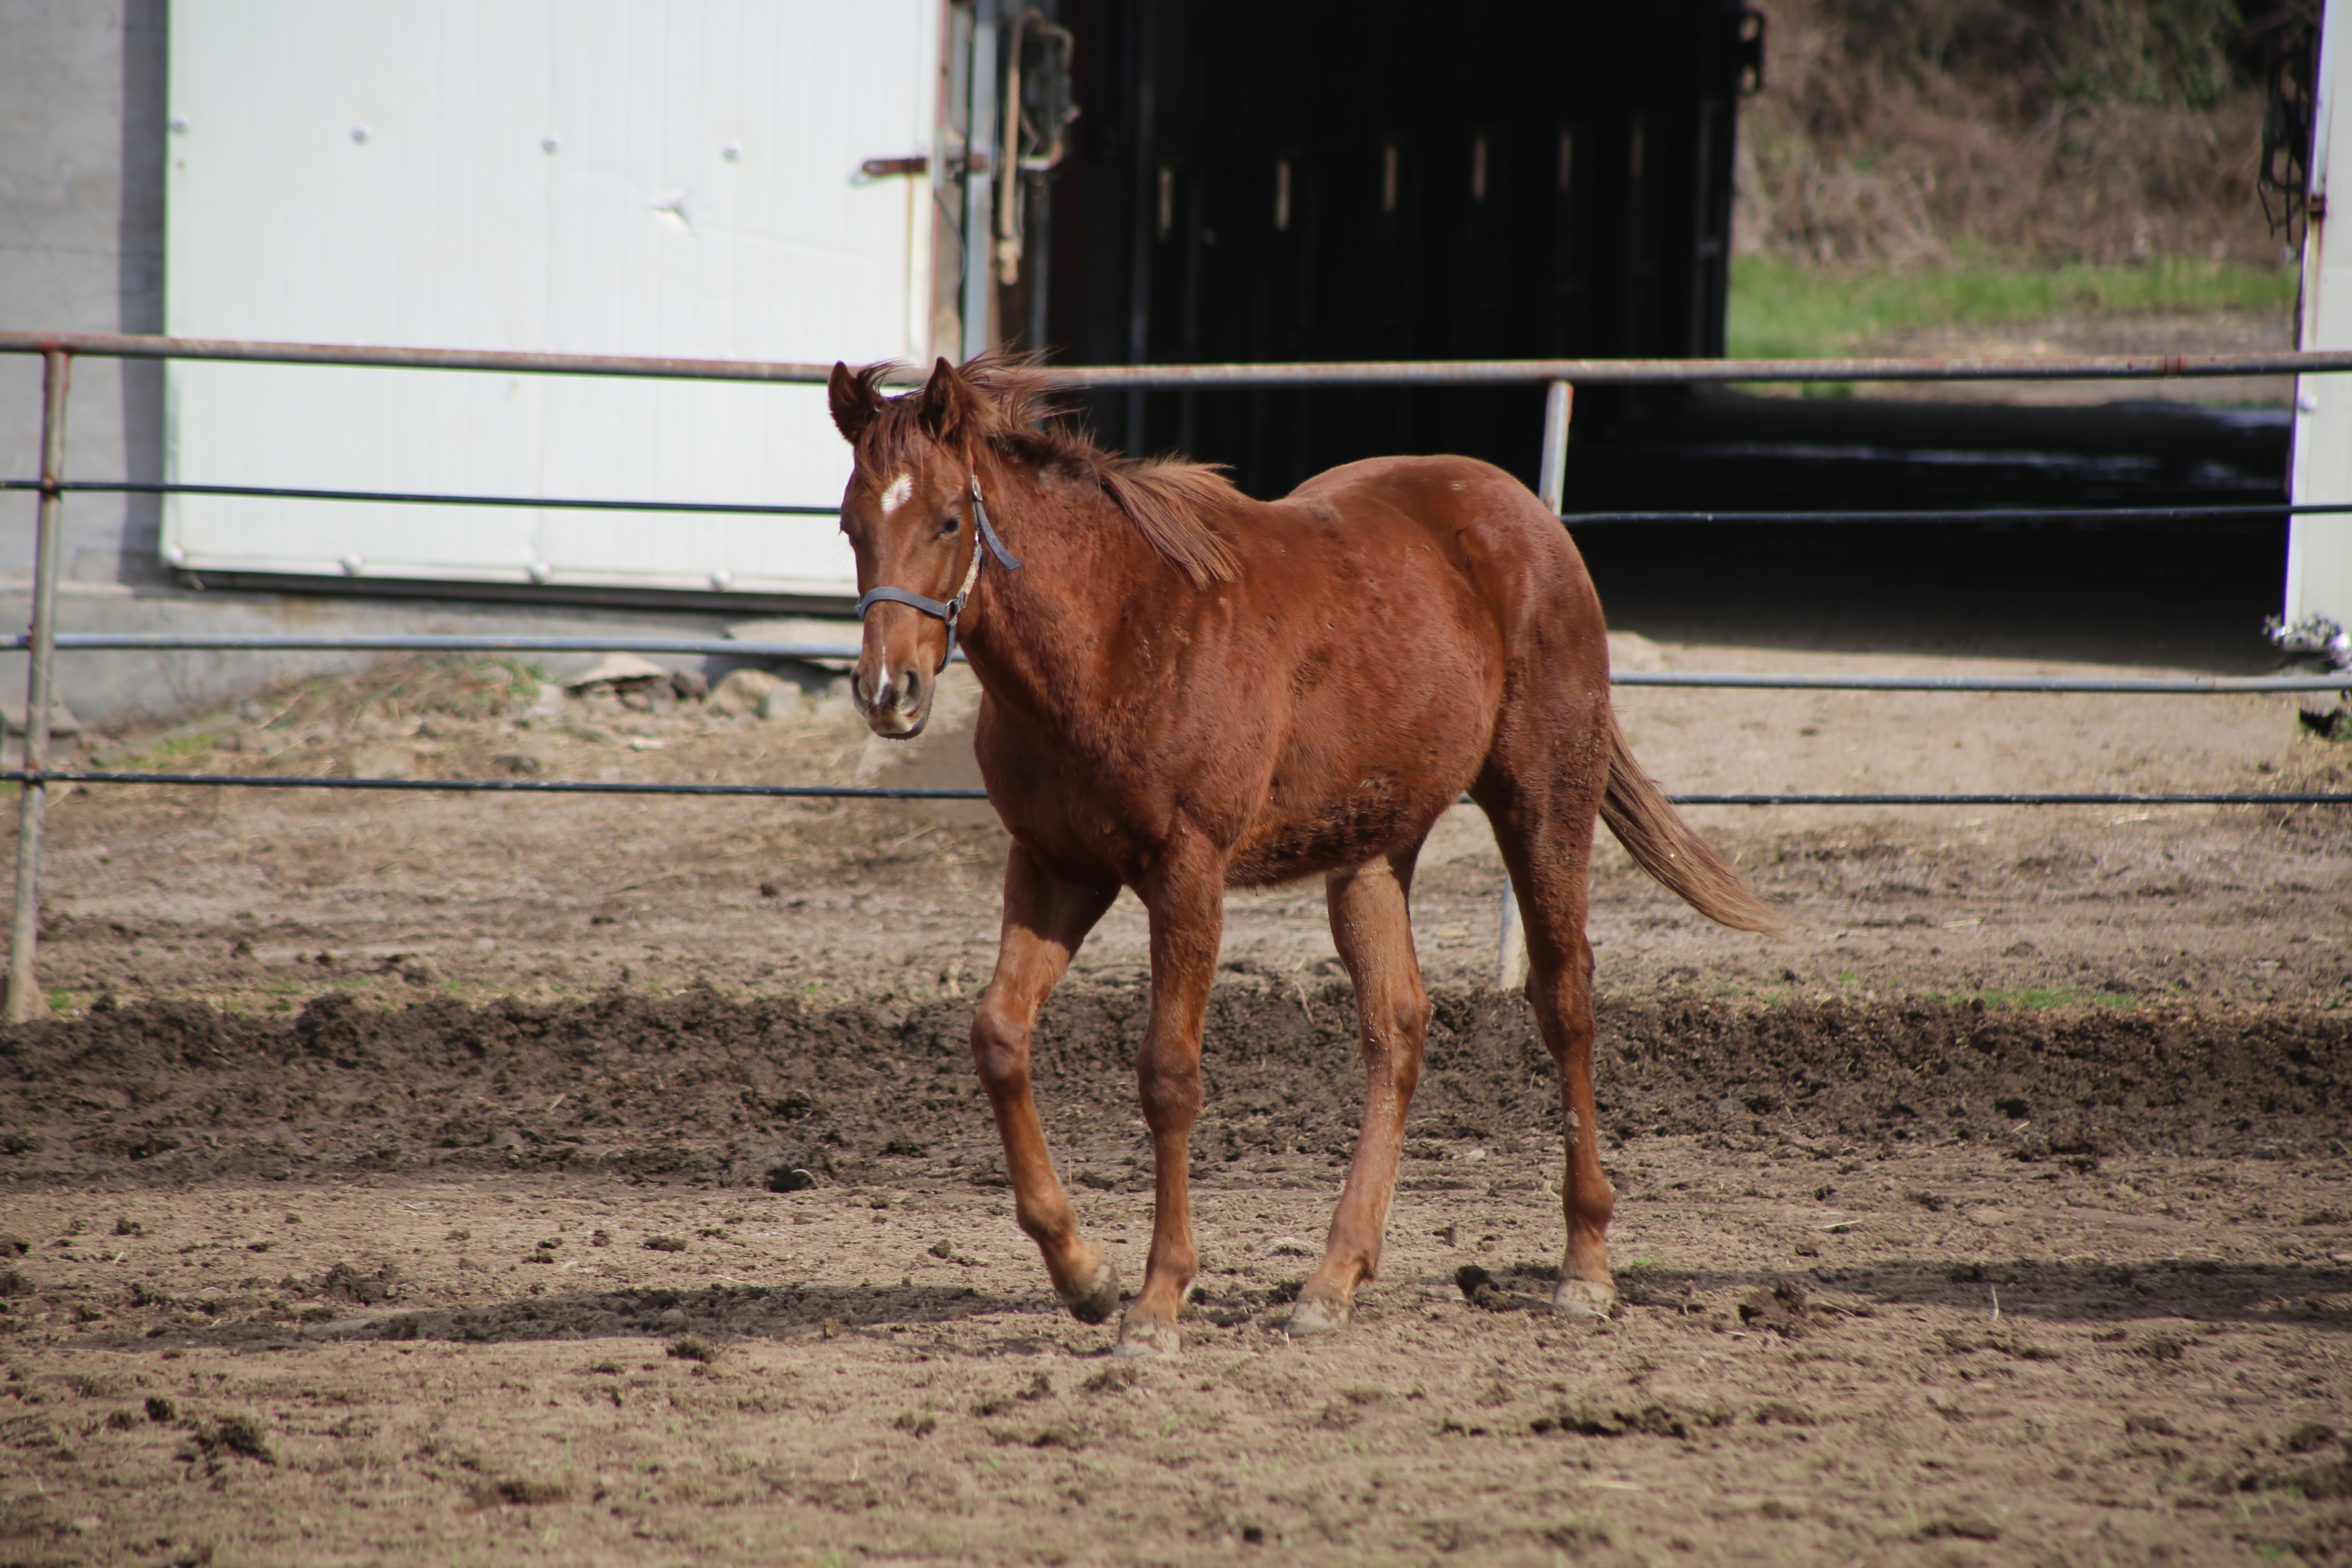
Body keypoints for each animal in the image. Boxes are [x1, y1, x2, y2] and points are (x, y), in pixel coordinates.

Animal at [828, 355, 1768, 1363]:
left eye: (948, 520)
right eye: (850, 525)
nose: (888, 692)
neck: (1115, 633)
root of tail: (1528, 516)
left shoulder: (1187, 873)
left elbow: (1169, 1076)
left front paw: (1157, 1303)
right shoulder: (1055, 867)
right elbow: (999, 1038)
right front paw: (1084, 1274)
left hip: (1544, 800)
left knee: (1564, 1000)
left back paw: (1585, 1268)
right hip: (1373, 850)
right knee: (1396, 1027)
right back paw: (1333, 1279)